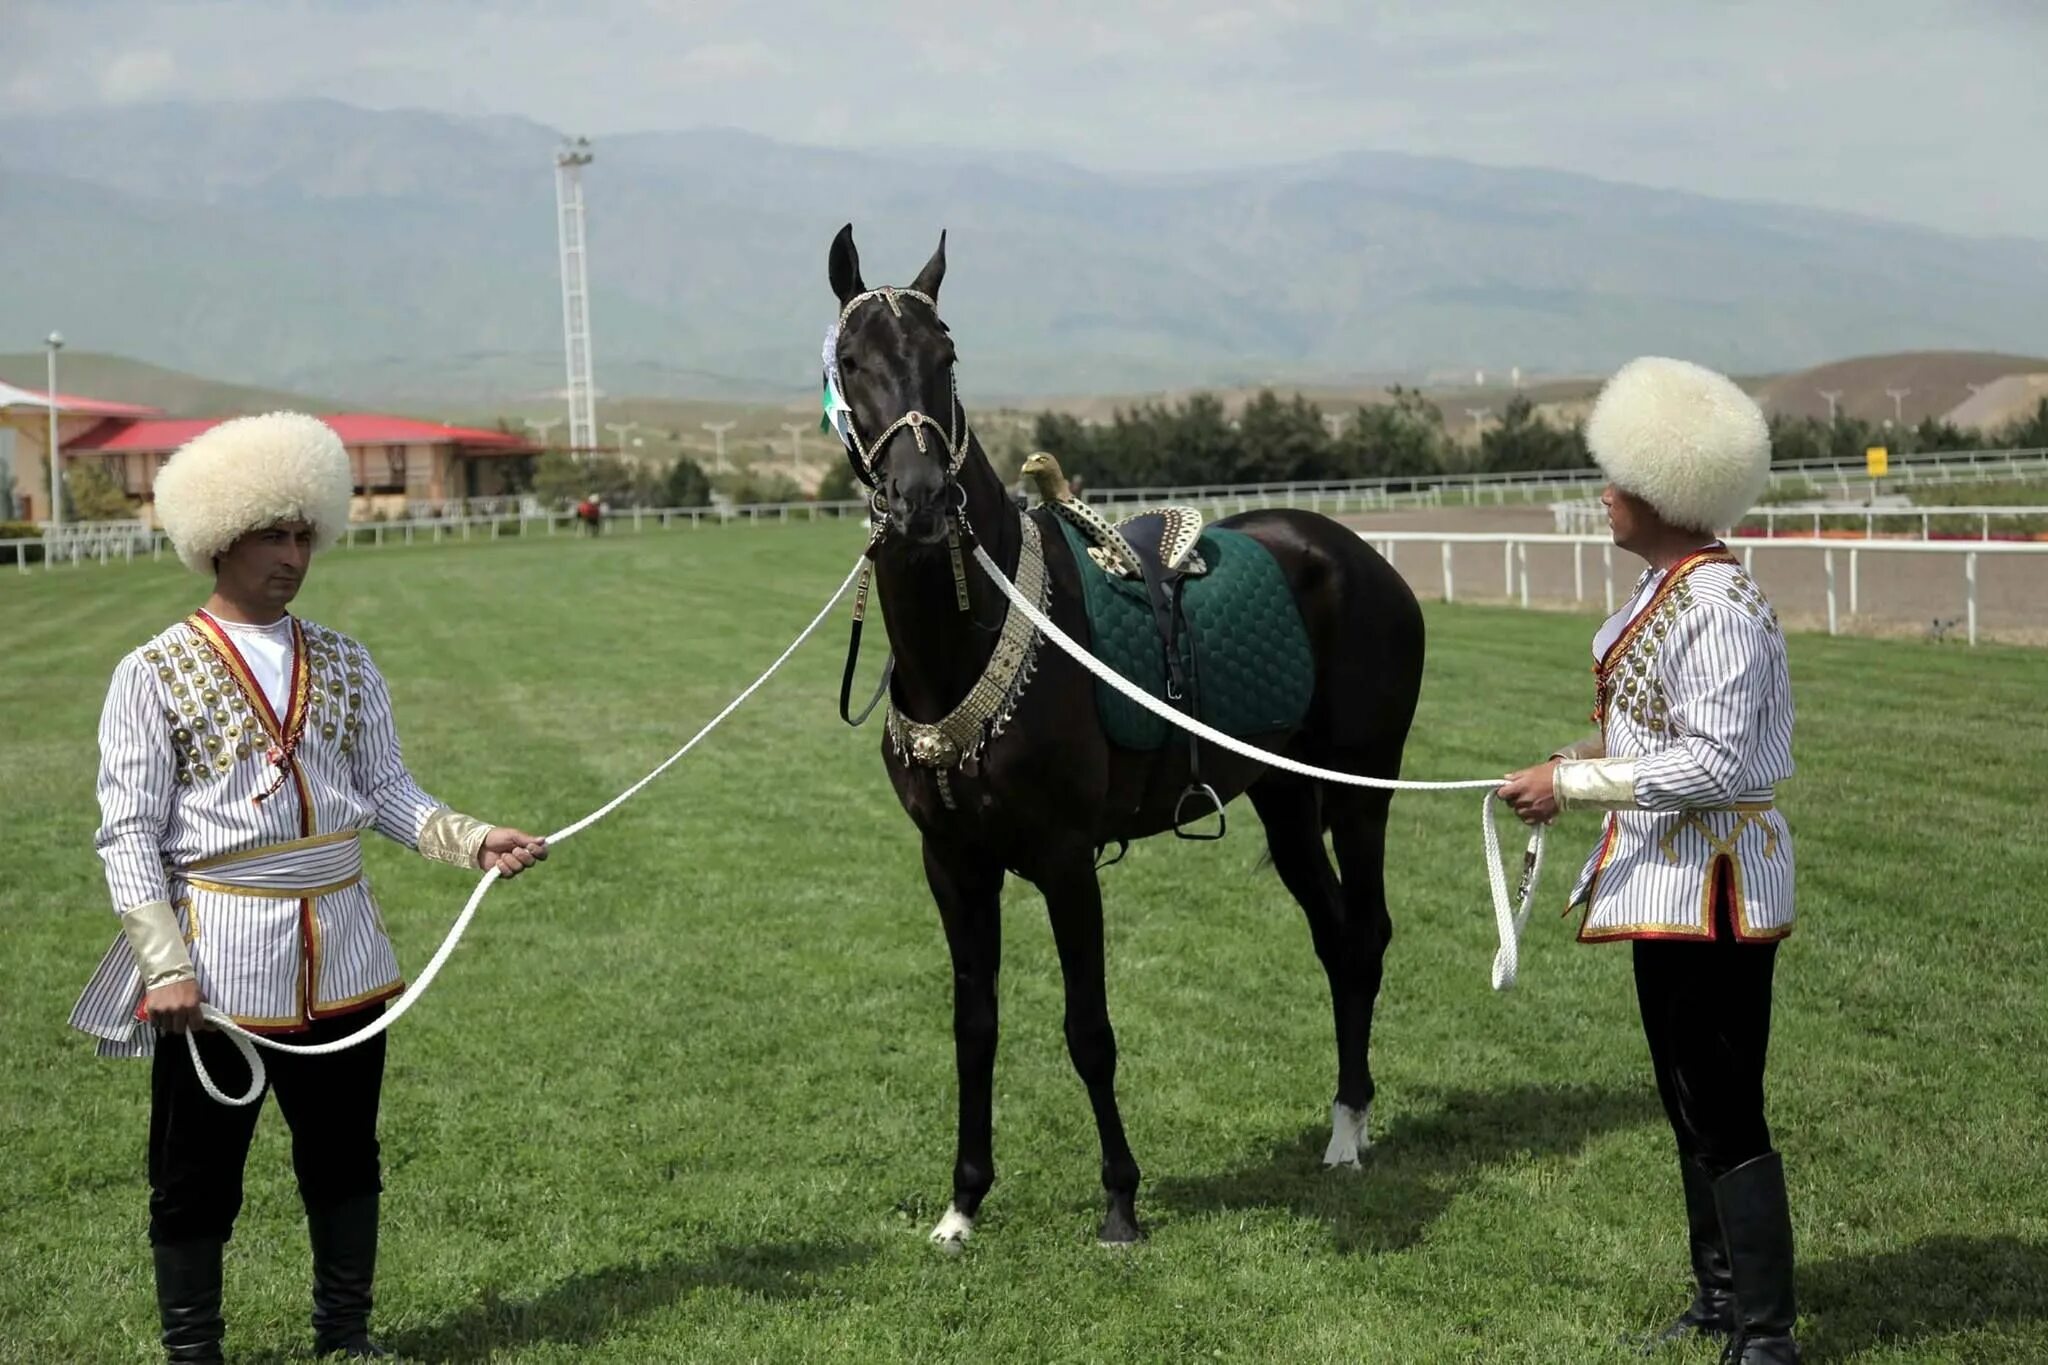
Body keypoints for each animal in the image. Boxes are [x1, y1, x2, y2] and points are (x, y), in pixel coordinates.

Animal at [831, 227, 1425, 1252]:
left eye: (947, 358)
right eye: (851, 361)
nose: (920, 500)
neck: (980, 632)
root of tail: (1360, 558)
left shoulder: (1067, 860)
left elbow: (1088, 1030)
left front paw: (1119, 1200)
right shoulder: (953, 863)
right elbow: (975, 1026)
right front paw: (963, 1201)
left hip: (1358, 789)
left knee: (1367, 932)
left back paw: (1351, 1129)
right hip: (1284, 798)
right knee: (1336, 935)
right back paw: (1343, 1124)